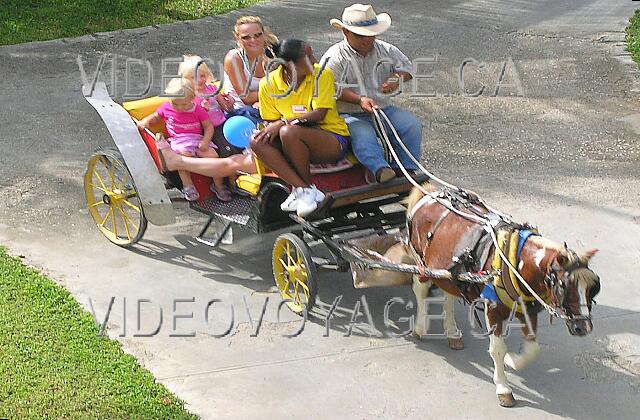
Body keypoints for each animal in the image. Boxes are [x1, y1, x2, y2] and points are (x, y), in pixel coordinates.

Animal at [404, 183, 600, 406]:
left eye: (593, 288)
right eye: (564, 286)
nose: (583, 327)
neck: (514, 261)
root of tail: (429, 191)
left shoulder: (528, 309)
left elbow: (532, 348)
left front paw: (512, 360)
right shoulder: (493, 309)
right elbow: (497, 348)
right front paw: (503, 387)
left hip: (448, 271)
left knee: (449, 294)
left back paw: (452, 332)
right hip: (422, 263)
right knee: (420, 290)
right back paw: (420, 327)